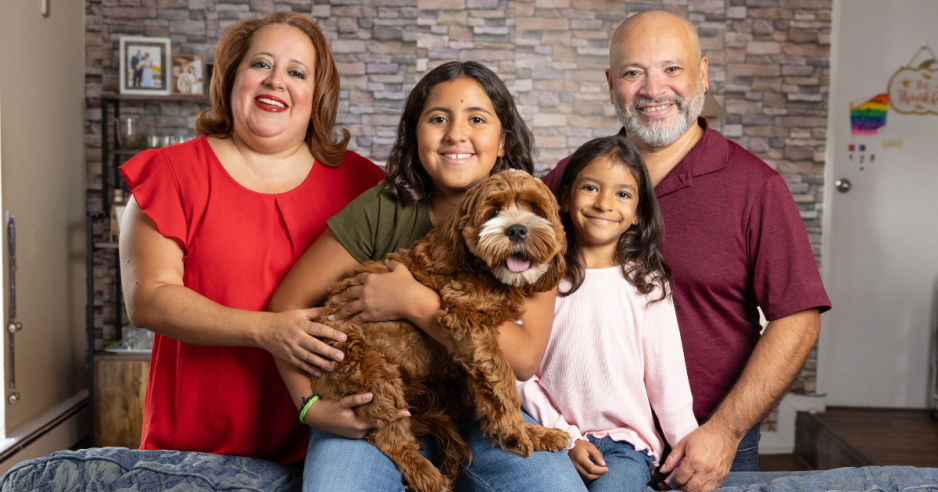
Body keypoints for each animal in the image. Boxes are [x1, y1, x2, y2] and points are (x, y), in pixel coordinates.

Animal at [310, 168, 568, 488]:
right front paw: (515, 430)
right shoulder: (464, 315)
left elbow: (487, 384)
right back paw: (427, 475)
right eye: (494, 211)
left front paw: (532, 432)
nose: (518, 230)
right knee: (389, 438)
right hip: (367, 368)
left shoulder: (469, 350)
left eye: (535, 209)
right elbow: (502, 375)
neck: (484, 270)